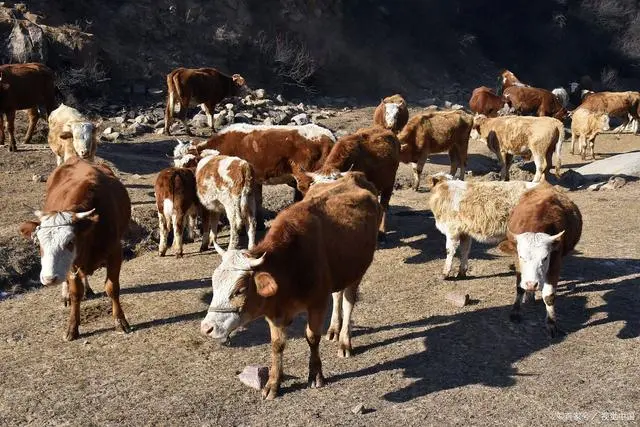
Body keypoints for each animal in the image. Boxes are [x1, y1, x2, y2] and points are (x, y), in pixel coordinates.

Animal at [18, 157, 132, 342]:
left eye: (70, 242)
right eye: (39, 244)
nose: (49, 279)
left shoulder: (115, 252)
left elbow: (112, 288)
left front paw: (120, 322)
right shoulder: (73, 264)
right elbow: (75, 293)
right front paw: (72, 328)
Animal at [200, 172, 380, 400]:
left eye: (239, 290)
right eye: (214, 286)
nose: (206, 328)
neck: (290, 264)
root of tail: (352, 175)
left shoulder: (317, 303)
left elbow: (312, 337)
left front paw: (315, 374)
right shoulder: (273, 313)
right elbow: (277, 345)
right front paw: (273, 384)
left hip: (357, 271)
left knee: (348, 302)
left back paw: (344, 341)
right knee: (337, 295)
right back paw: (333, 329)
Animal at [498, 184, 584, 338]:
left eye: (545, 258)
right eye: (521, 257)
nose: (532, 284)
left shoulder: (555, 262)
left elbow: (549, 296)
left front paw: (551, 323)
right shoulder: (517, 262)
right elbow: (519, 287)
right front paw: (515, 312)